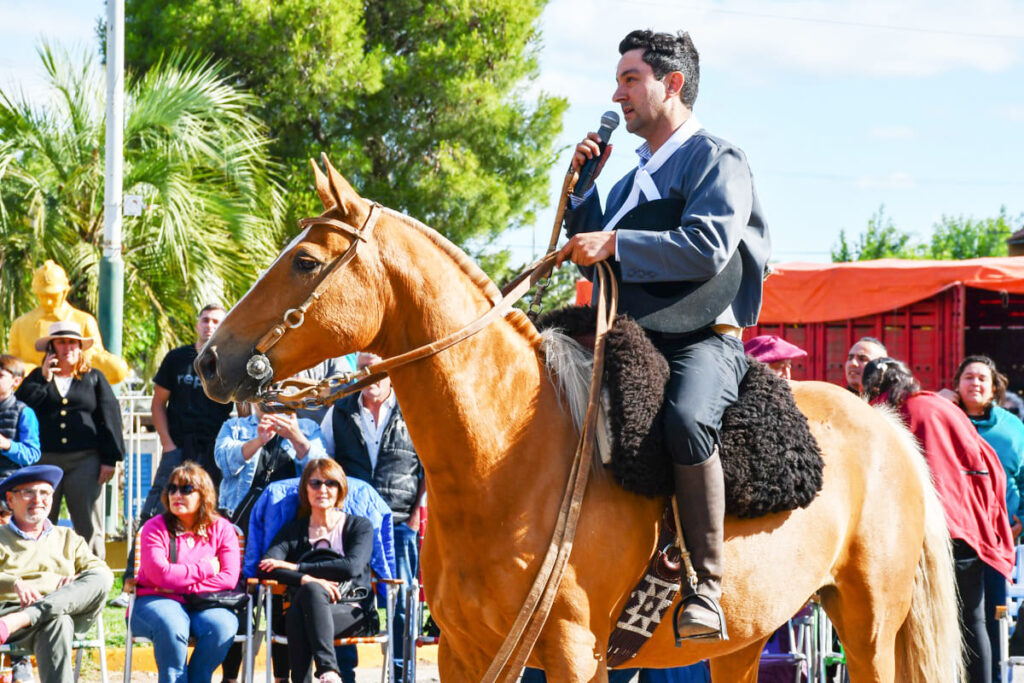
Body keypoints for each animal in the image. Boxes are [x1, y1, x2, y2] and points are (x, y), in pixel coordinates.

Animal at [197, 157, 958, 679]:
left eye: (304, 261)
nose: (210, 359)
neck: (505, 457)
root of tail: (886, 426)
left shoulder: (573, 652)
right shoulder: (467, 653)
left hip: (867, 626)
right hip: (748, 640)